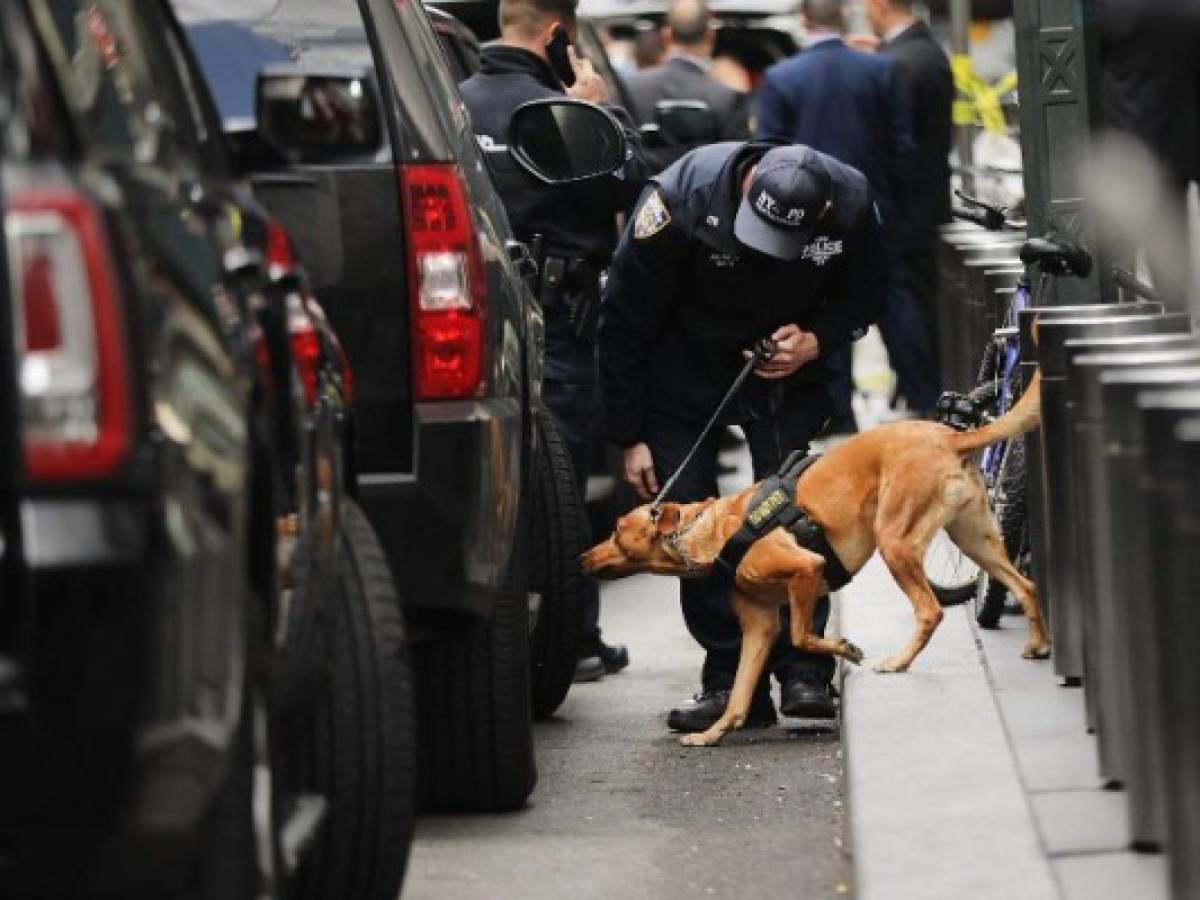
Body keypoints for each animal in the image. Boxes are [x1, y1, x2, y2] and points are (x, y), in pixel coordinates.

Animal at [583, 374, 1051, 748]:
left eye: (615, 531)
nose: (583, 556)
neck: (712, 531)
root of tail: (950, 436)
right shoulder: (759, 626)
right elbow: (739, 693)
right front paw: (713, 733)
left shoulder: (806, 570)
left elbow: (802, 636)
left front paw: (845, 649)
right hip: (975, 540)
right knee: (1026, 585)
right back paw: (1037, 644)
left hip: (896, 543)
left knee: (931, 610)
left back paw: (898, 662)